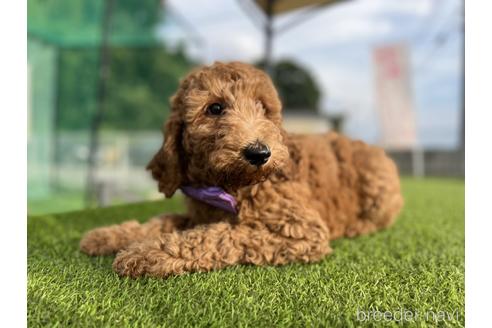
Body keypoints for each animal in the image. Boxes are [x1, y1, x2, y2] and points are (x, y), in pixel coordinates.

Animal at [80, 60, 404, 276]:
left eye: (263, 107)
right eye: (215, 108)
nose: (260, 153)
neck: (228, 184)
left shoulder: (299, 230)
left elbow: (218, 235)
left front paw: (145, 252)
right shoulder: (198, 212)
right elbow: (164, 220)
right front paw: (109, 236)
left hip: (377, 185)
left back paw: (358, 225)